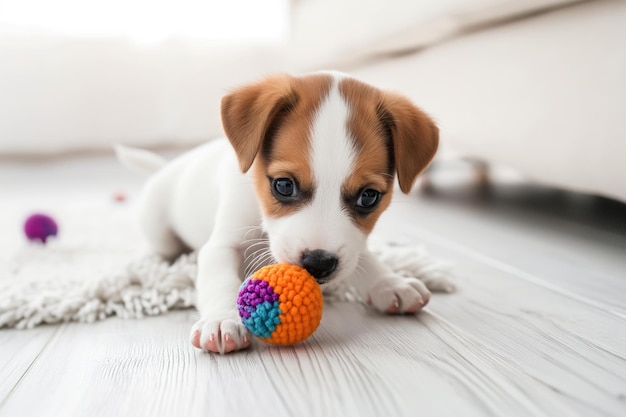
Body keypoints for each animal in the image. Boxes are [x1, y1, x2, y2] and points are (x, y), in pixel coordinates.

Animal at [117, 70, 450, 352]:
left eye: (368, 197)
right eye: (284, 185)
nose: (318, 263)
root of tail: (166, 168)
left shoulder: (351, 245)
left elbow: (365, 258)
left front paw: (390, 282)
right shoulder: (222, 245)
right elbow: (219, 280)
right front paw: (223, 319)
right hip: (160, 229)